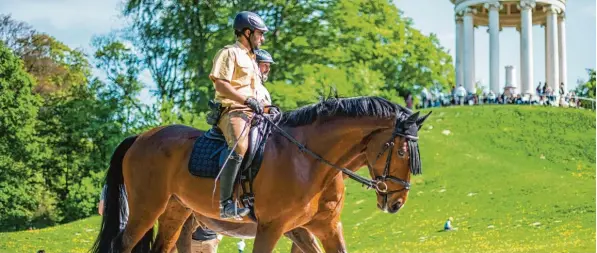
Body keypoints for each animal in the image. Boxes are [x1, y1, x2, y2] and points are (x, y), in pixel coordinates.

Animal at [92, 96, 428, 252]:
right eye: (401, 152)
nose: (396, 202)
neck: (309, 161)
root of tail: (141, 136)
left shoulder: (321, 227)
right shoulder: (272, 228)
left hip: (176, 211)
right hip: (146, 208)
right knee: (123, 243)